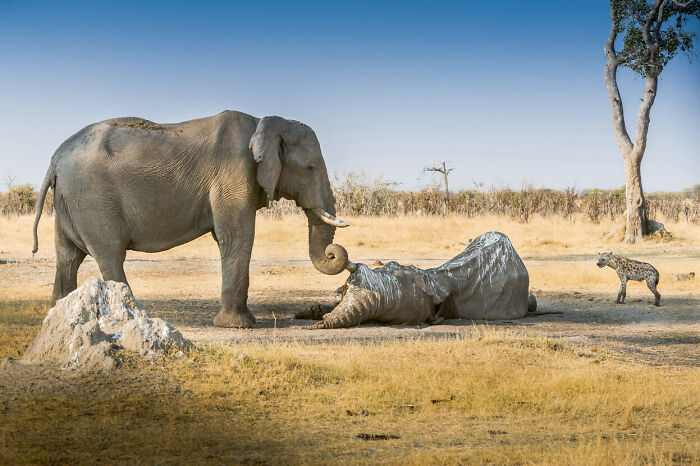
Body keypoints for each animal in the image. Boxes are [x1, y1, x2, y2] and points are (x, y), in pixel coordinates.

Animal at [32, 110, 351, 328]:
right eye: (310, 168)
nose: (334, 254)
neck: (263, 121)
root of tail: (54, 158)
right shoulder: (234, 174)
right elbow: (237, 236)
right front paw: (239, 326)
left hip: (69, 201)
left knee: (68, 257)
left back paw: (58, 317)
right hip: (93, 198)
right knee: (109, 255)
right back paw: (131, 318)